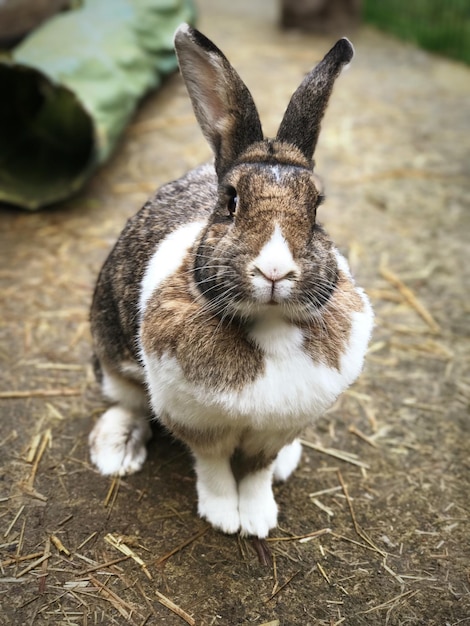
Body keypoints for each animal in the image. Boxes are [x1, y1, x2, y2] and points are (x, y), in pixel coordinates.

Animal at [88, 23, 374, 536]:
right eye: (231, 201)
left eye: (316, 208)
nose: (275, 271)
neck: (271, 327)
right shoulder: (199, 424)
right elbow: (215, 467)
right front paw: (224, 517)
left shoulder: (276, 429)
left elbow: (258, 470)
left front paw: (259, 518)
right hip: (111, 354)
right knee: (129, 401)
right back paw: (116, 452)